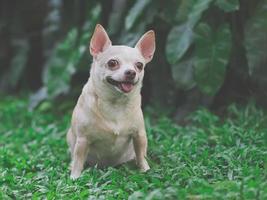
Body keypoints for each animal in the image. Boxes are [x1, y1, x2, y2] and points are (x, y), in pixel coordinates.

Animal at [66, 24, 156, 179]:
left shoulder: (139, 135)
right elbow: (78, 159)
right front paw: (75, 177)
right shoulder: (83, 140)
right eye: (112, 63)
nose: (131, 72)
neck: (115, 102)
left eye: (139, 65)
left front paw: (145, 170)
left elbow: (141, 155)